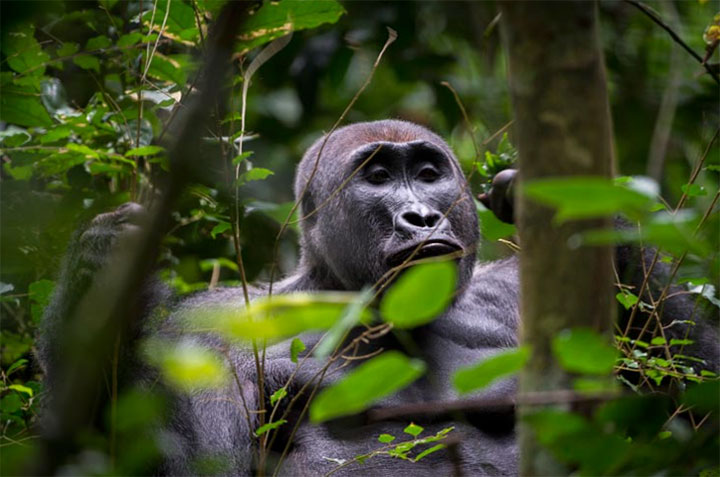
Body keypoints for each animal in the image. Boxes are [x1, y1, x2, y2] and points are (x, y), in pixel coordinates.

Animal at [42, 120, 716, 476]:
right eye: (378, 177)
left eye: (428, 174)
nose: (420, 217)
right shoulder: (206, 327)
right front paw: (97, 268)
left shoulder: (510, 293)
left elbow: (696, 396)